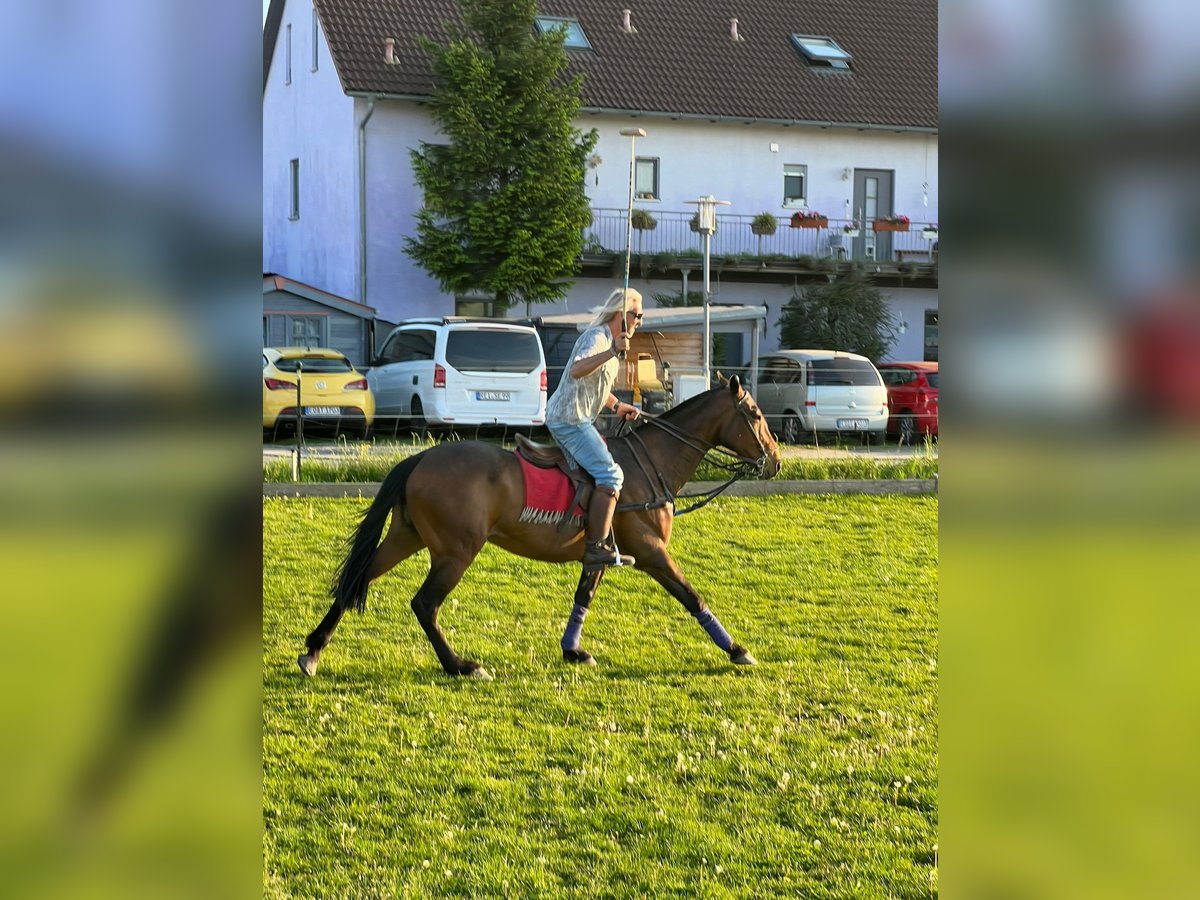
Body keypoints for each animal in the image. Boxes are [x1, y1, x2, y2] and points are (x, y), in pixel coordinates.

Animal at [296, 374, 782, 681]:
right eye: (756, 414)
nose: (775, 460)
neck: (651, 464)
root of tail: (421, 457)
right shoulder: (650, 552)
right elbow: (691, 595)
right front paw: (737, 650)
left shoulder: (599, 554)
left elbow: (583, 596)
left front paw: (573, 650)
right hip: (456, 551)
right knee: (424, 604)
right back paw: (461, 666)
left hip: (406, 536)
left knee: (357, 580)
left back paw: (313, 651)